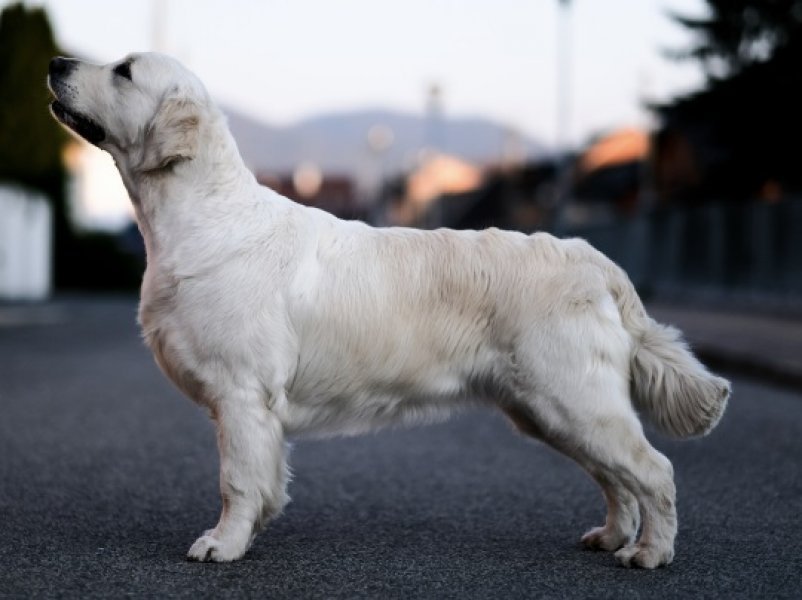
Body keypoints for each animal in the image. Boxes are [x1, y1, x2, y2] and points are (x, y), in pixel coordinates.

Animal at [47, 51, 728, 568]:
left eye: (124, 71)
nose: (54, 63)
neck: (205, 215)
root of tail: (595, 259)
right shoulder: (255, 407)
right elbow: (264, 480)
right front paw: (252, 530)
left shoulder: (242, 393)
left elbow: (235, 480)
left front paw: (224, 544)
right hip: (550, 410)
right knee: (617, 479)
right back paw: (612, 536)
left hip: (574, 399)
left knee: (653, 470)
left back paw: (650, 554)